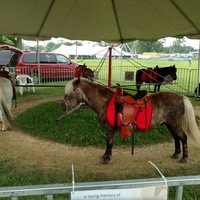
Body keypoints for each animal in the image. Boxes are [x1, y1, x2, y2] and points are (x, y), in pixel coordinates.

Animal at [61, 77, 200, 164]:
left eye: (72, 92)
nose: (62, 106)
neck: (105, 102)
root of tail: (181, 97)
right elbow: (109, 143)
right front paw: (106, 156)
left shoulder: (109, 129)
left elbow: (109, 143)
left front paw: (106, 158)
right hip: (169, 124)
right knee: (176, 138)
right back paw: (176, 154)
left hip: (175, 124)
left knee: (183, 138)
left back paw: (184, 157)